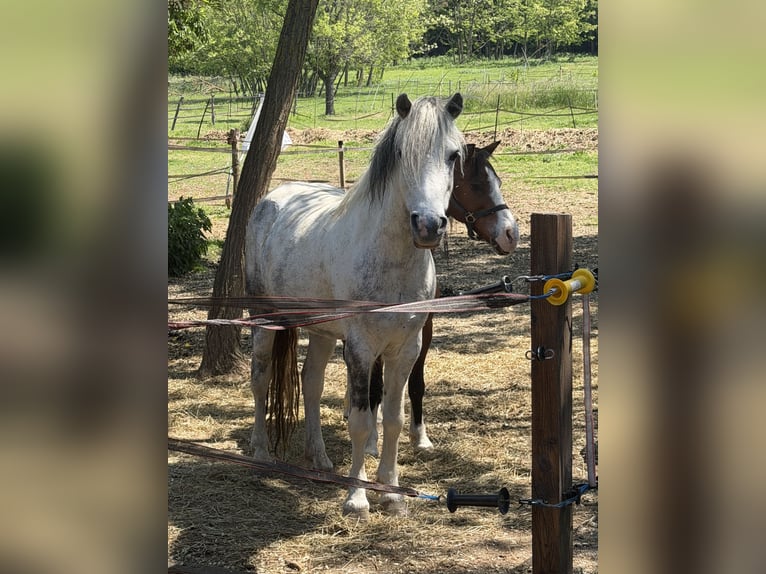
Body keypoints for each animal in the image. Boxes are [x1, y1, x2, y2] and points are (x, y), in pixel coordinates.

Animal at [244, 93, 465, 518]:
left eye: (453, 155)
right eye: (401, 152)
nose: (428, 225)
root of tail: (270, 201)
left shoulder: (405, 349)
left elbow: (393, 419)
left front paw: (392, 495)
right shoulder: (362, 350)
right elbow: (362, 421)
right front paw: (357, 499)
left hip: (322, 332)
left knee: (311, 384)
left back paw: (320, 458)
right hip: (265, 321)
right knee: (260, 378)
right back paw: (261, 452)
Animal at [365, 141, 519, 455]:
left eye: (497, 182)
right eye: (476, 184)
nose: (511, 234)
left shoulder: (424, 326)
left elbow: (416, 382)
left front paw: (420, 437)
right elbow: (374, 383)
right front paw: (372, 441)